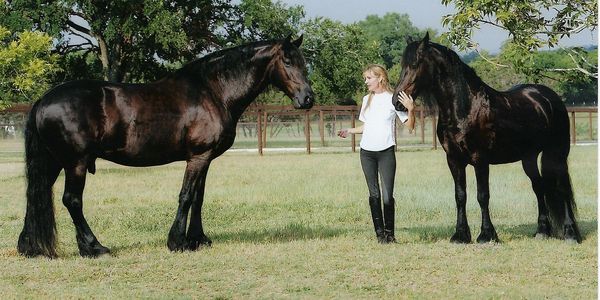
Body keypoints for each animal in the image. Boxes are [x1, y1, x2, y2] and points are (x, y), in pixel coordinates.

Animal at [17, 34, 314, 256]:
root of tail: (43, 100)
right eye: (288, 61)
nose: (307, 99)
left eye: (303, 62)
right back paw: (94, 247)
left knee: (37, 195)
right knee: (72, 200)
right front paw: (177, 242)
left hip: (54, 162)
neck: (213, 91)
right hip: (75, 163)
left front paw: (198, 239)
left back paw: (30, 246)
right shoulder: (198, 156)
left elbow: (199, 198)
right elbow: (186, 195)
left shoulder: (204, 158)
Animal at [392, 32, 580, 244]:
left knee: (562, 189)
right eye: (403, 65)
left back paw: (571, 234)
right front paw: (460, 235)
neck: (465, 107)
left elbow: (482, 196)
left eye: (415, 63)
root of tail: (548, 97)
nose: (396, 102)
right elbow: (460, 196)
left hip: (557, 153)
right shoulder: (454, 159)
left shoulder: (480, 159)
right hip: (529, 158)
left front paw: (486, 235)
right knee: (539, 187)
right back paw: (542, 231)